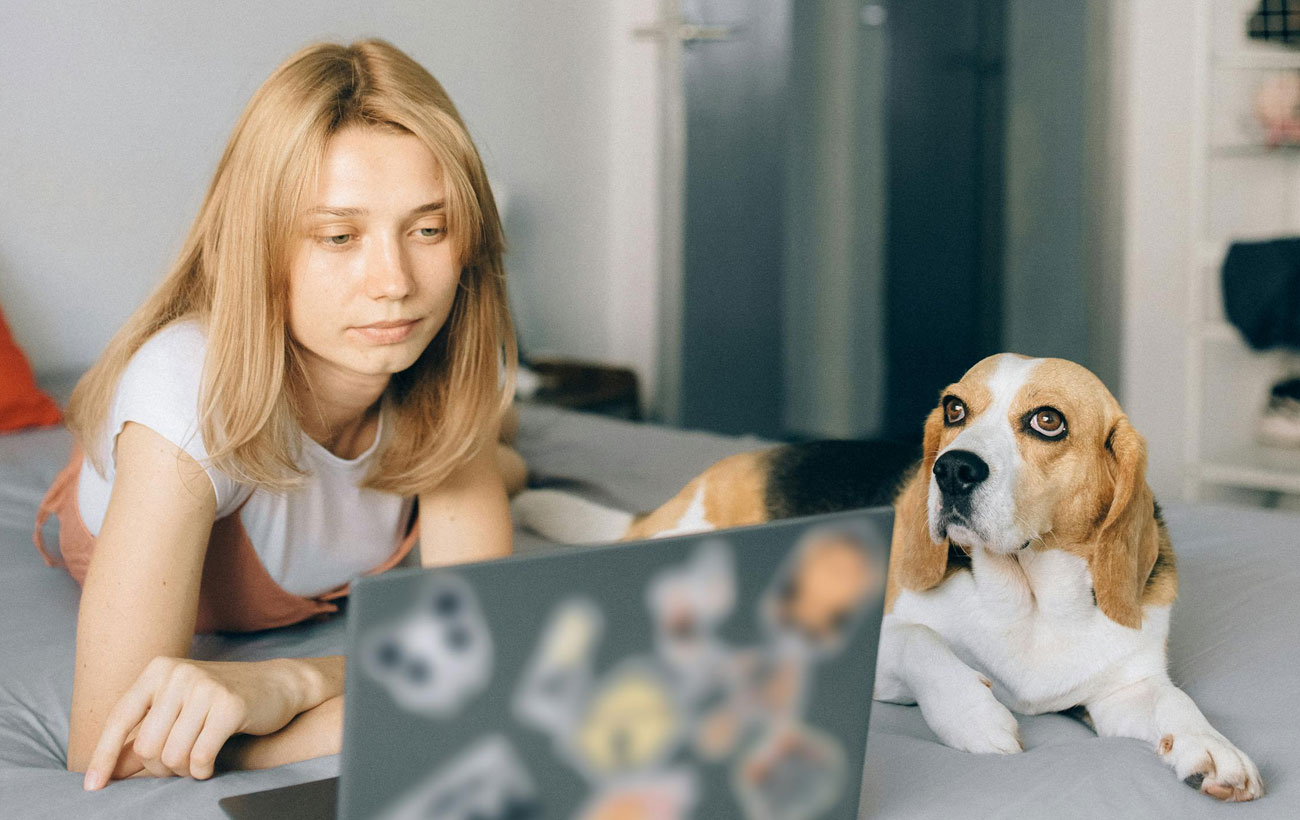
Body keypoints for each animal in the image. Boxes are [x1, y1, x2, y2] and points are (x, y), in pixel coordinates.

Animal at [512, 353, 1263, 800]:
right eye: (955, 409)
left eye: (1048, 421)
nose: (952, 469)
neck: (1028, 601)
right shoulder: (879, 650)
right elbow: (919, 642)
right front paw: (973, 714)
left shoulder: (1120, 691)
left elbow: (1175, 703)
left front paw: (1213, 747)